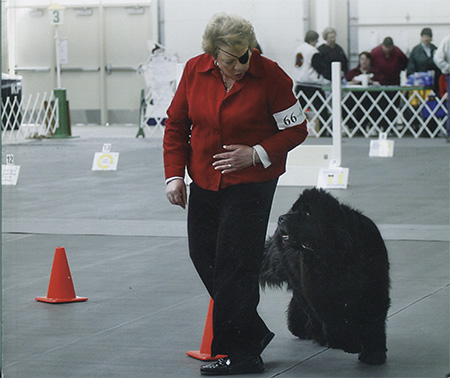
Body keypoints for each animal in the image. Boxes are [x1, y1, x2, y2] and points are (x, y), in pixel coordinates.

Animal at [262, 188, 388, 364]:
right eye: (294, 210)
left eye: (307, 213)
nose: (281, 218)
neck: (336, 257)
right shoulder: (320, 292)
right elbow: (335, 320)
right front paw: (350, 343)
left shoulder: (374, 291)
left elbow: (373, 323)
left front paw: (374, 354)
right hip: (298, 281)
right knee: (307, 308)